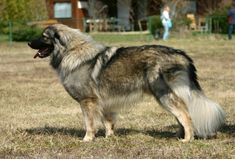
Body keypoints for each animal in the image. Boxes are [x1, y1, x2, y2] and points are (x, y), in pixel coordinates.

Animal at [28, 24, 225, 142]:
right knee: (180, 116)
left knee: (185, 115)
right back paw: (179, 136)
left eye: (43, 36)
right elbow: (107, 122)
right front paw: (109, 137)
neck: (71, 51)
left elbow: (89, 123)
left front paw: (87, 139)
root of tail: (181, 54)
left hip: (163, 94)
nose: (29, 42)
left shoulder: (88, 101)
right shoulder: (104, 102)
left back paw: (187, 139)